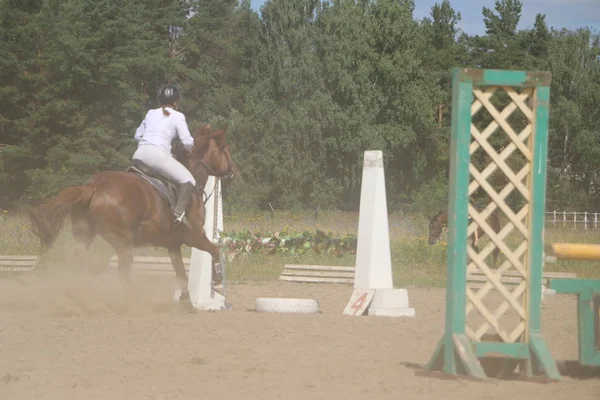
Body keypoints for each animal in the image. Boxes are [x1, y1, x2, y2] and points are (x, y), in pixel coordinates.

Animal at [27, 123, 239, 304]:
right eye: (227, 149)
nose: (234, 173)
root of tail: (93, 187)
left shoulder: (173, 245)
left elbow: (182, 276)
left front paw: (187, 304)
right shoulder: (195, 236)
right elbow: (214, 251)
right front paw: (218, 283)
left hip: (84, 236)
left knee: (77, 266)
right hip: (124, 245)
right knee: (122, 275)